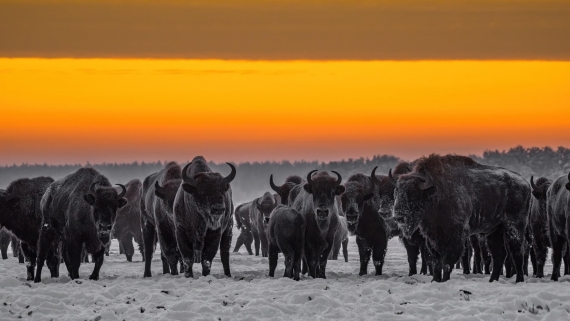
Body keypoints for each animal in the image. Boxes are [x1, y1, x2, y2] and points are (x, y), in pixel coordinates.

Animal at [390, 154, 528, 282]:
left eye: (413, 193)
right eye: (396, 191)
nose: (398, 216)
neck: (436, 194)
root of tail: (525, 184)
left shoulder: (455, 237)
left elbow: (447, 262)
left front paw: (444, 280)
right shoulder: (432, 238)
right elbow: (436, 262)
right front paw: (435, 280)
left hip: (515, 227)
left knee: (517, 253)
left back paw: (519, 280)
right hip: (495, 230)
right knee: (499, 255)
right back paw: (492, 280)